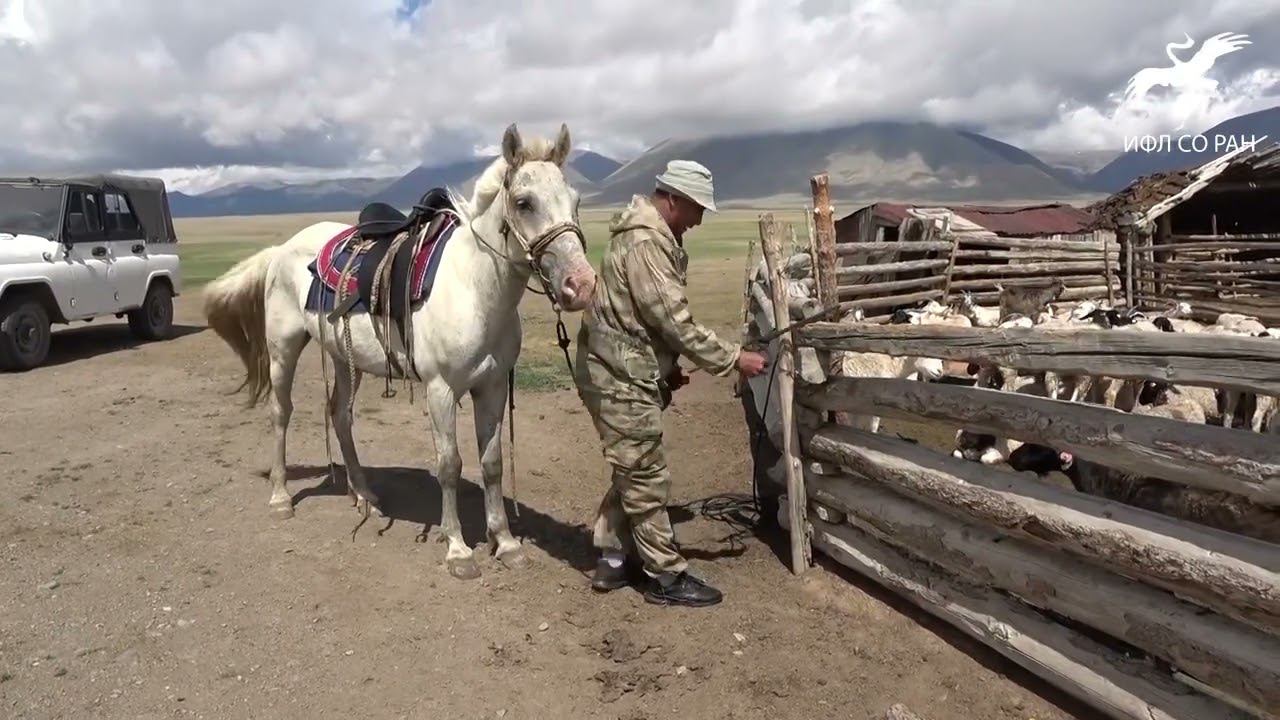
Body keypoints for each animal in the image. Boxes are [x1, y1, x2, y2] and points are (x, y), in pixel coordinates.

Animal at [202, 122, 596, 576]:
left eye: (576, 201)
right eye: (523, 202)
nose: (581, 285)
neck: (474, 288)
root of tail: (282, 249)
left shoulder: (493, 386)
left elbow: (492, 464)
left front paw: (505, 541)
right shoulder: (440, 390)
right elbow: (449, 464)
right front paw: (458, 549)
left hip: (343, 357)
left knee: (339, 415)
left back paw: (363, 494)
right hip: (283, 348)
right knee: (281, 413)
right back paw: (281, 497)